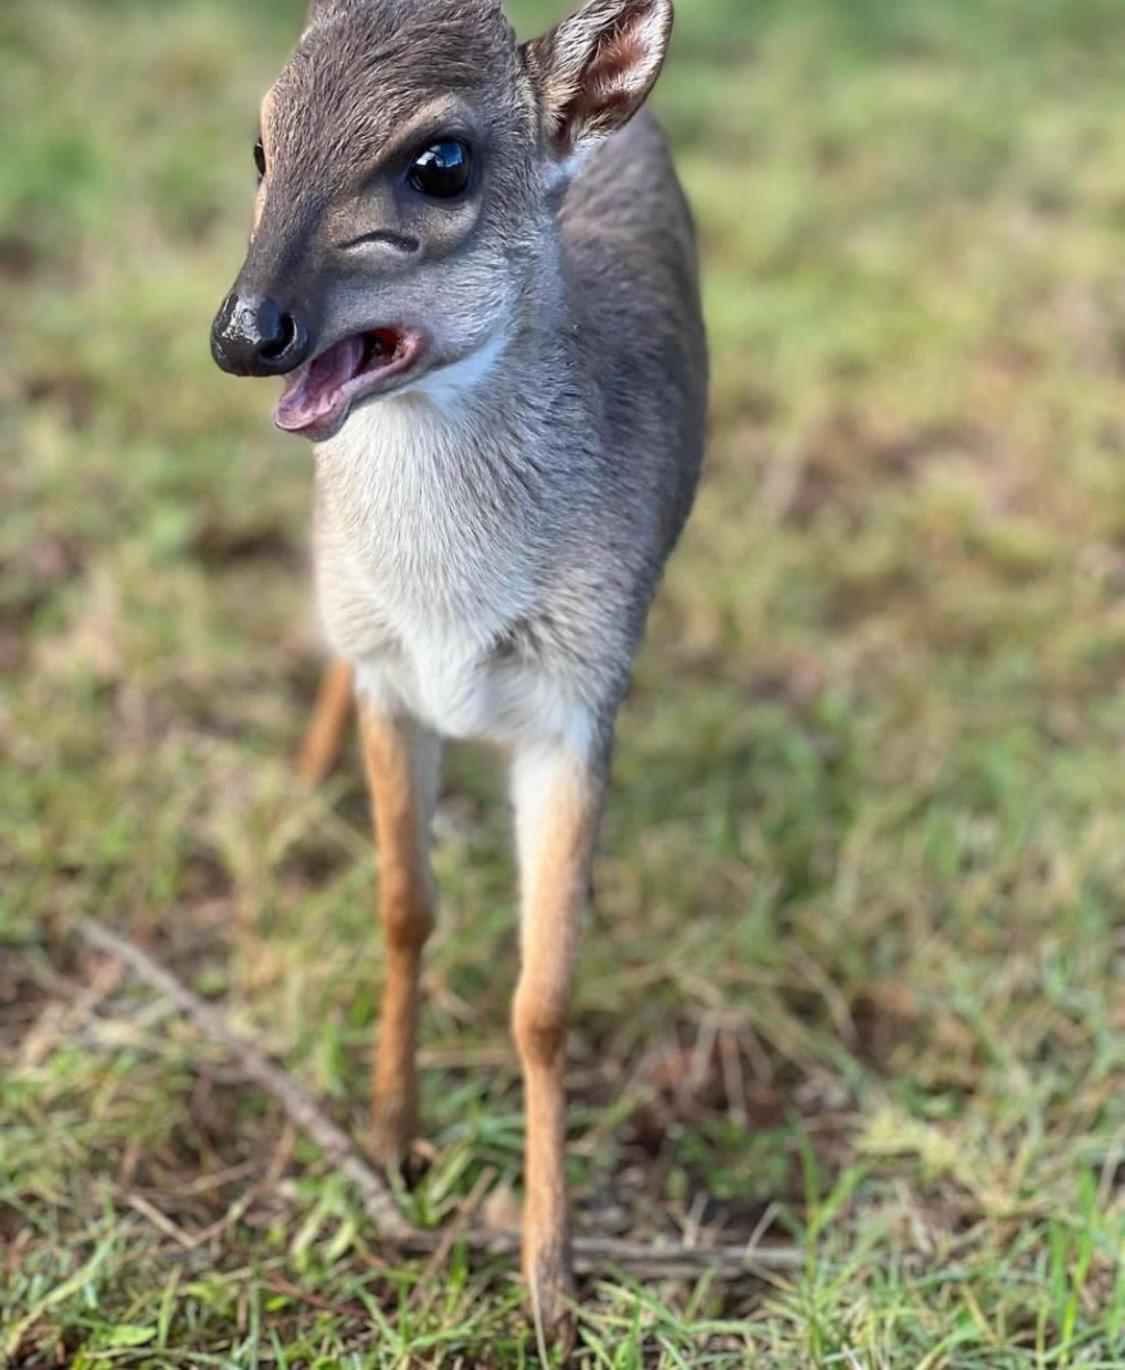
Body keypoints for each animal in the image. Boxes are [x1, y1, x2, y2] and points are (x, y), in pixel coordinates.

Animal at [209, 0, 701, 1331]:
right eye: (262, 141)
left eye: (441, 162)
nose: (246, 331)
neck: (456, 612)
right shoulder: (391, 671)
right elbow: (403, 906)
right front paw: (390, 1138)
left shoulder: (584, 692)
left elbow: (544, 1000)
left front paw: (549, 1273)